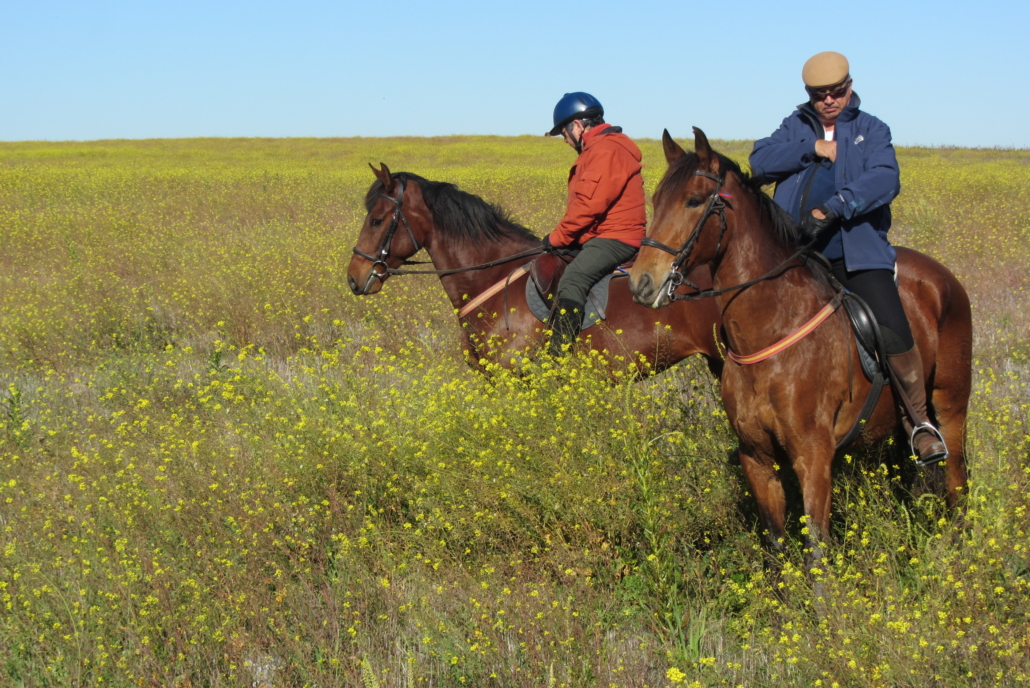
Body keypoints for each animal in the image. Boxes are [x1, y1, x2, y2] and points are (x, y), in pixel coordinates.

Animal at [628, 128, 971, 570]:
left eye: (693, 200)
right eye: (656, 199)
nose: (641, 283)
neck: (770, 330)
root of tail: (944, 278)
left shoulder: (813, 457)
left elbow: (817, 551)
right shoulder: (756, 456)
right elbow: (776, 545)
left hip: (950, 404)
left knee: (957, 479)